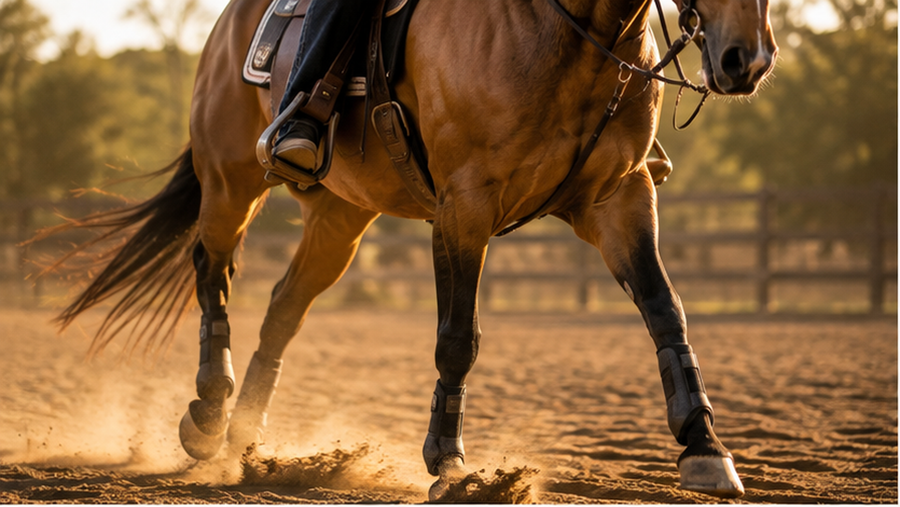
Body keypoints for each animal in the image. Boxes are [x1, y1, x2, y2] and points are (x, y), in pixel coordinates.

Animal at [46, 0, 776, 500]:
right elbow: (457, 339)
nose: (748, 59)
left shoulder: (619, 197)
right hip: (231, 181)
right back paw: (206, 412)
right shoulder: (464, 208)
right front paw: (448, 460)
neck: (561, 33)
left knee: (283, 306)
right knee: (213, 272)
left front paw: (705, 446)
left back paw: (246, 434)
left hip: (342, 216)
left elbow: (665, 310)